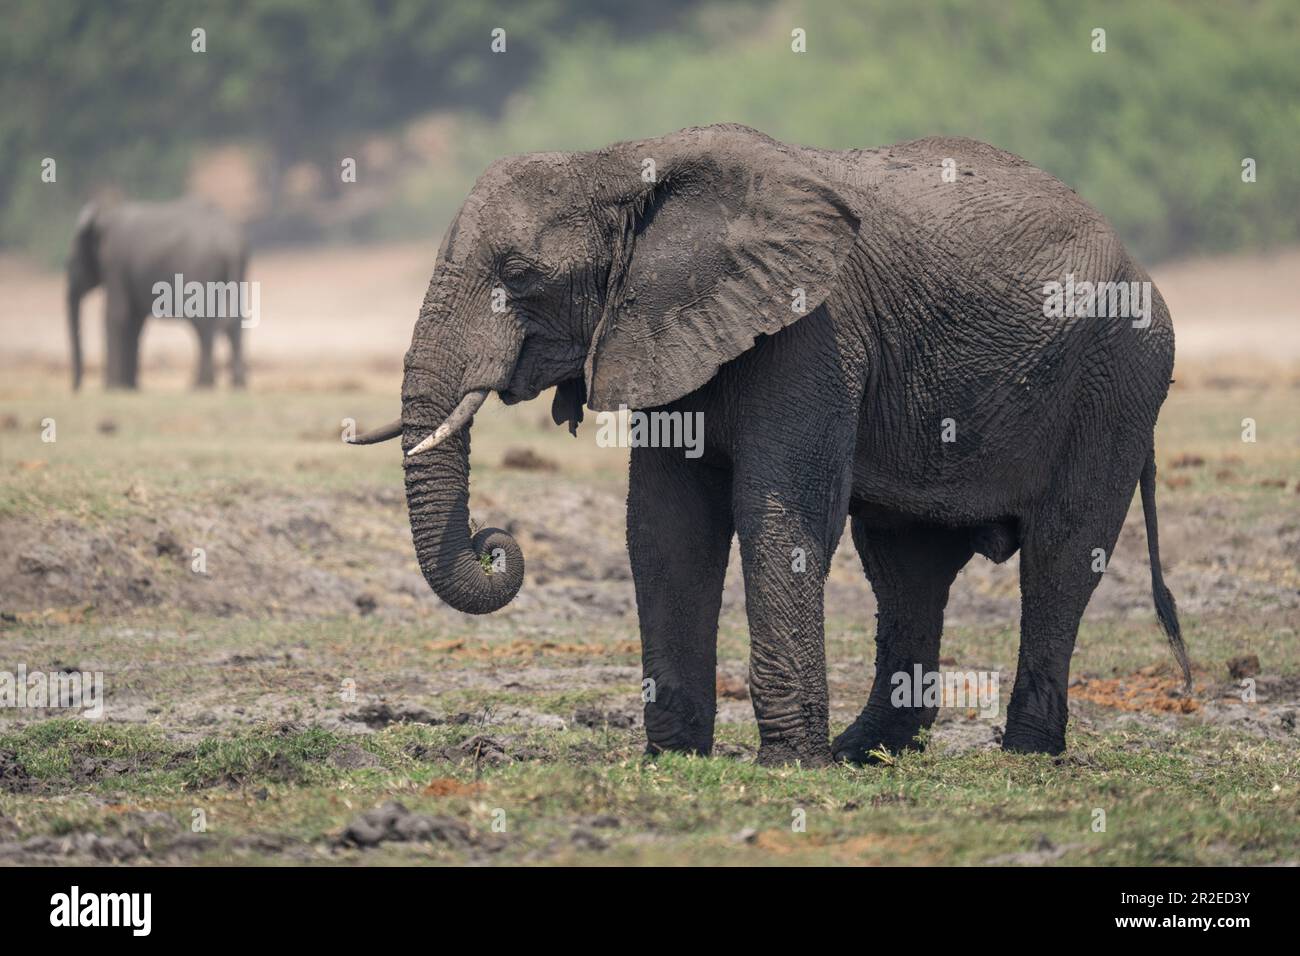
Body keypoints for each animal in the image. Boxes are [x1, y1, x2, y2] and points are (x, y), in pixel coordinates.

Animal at [67, 199, 250, 390]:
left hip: (202, 272)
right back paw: (236, 385)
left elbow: (116, 316)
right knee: (234, 324)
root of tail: (231, 246)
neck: (105, 214)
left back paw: (201, 386)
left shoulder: (115, 264)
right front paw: (130, 387)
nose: (76, 389)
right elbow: (134, 322)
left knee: (204, 324)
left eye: (69, 262)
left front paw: (112, 388)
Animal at [350, 124, 1189, 766]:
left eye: (520, 274)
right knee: (906, 565)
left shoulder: (814, 330)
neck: (624, 161)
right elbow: (664, 528)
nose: (496, 543)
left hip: (1118, 380)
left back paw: (1023, 752)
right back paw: (867, 752)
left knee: (1061, 555)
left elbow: (778, 514)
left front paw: (788, 765)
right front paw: (675, 759)